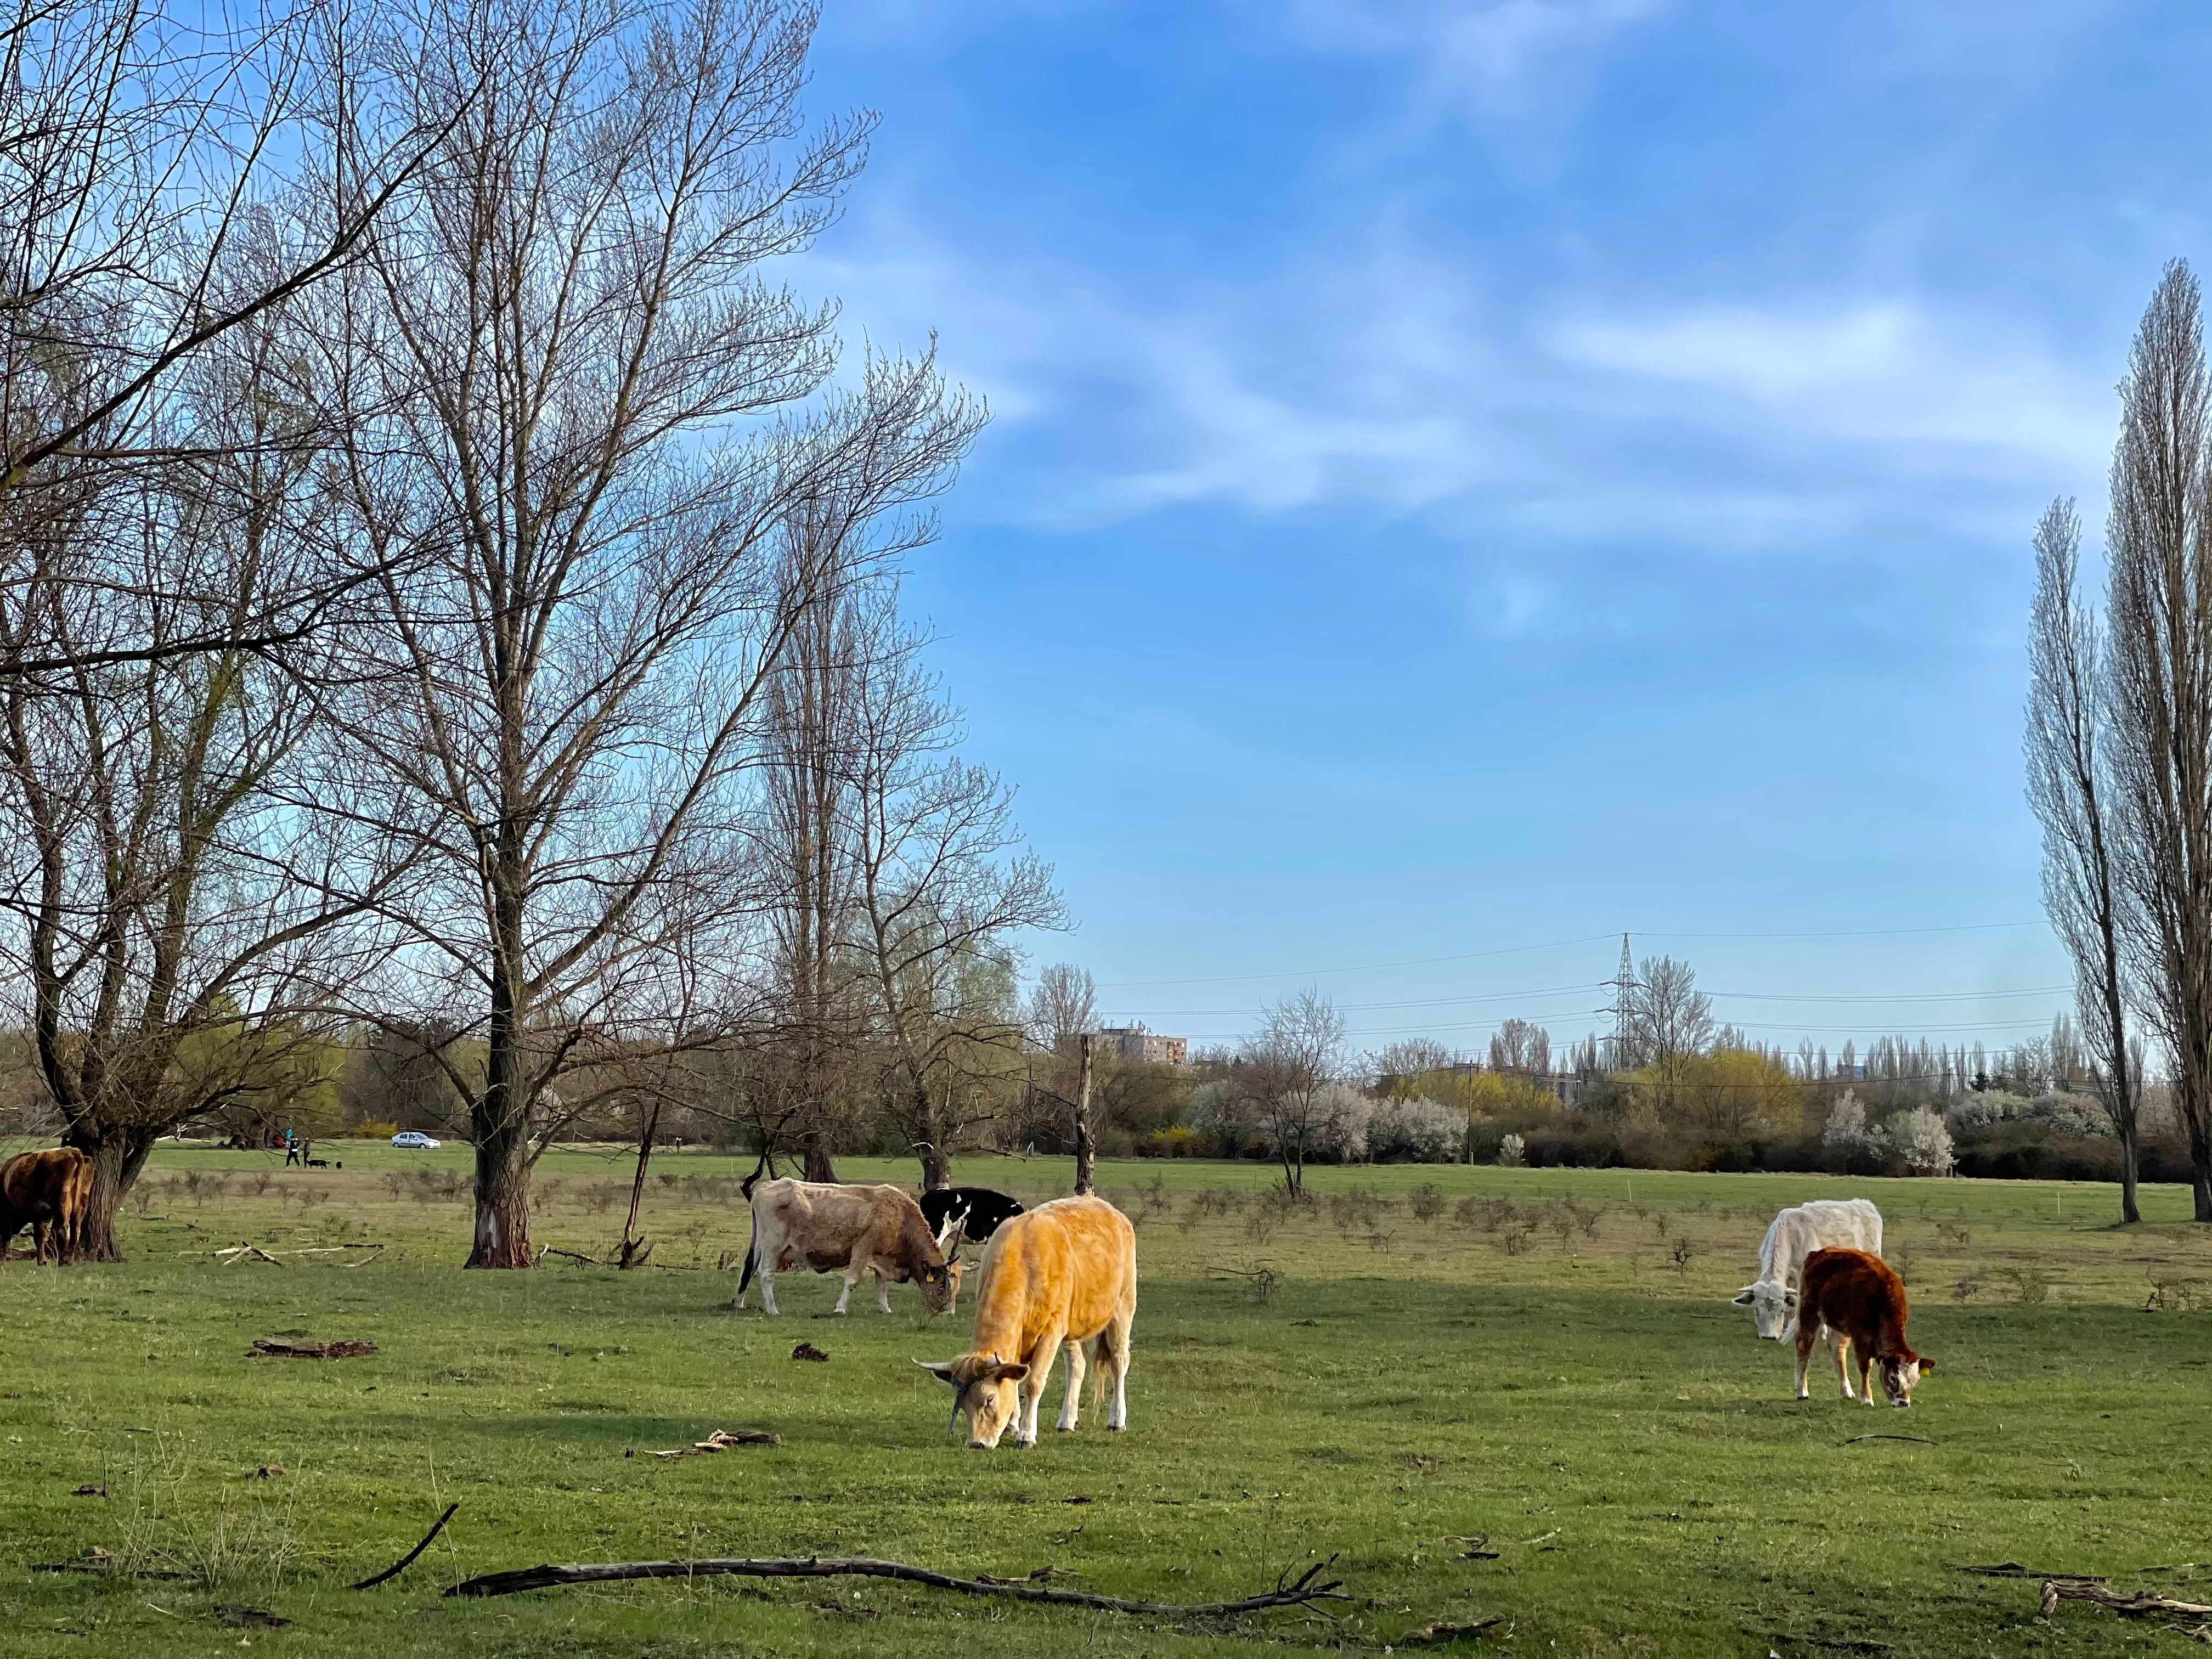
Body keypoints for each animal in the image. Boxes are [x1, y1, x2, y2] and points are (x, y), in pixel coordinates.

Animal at [0, 1147, 94, 1265]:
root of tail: (73, 1152)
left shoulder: (8, 1213)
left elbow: (7, 1236)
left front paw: (2, 1260)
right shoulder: (42, 1215)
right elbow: (40, 1237)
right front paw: (42, 1261)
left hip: (61, 1206)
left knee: (64, 1230)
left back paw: (62, 1261)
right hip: (80, 1207)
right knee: (75, 1231)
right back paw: (69, 1261)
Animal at [734, 1178, 964, 1316]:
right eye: (942, 1286)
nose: (948, 1312)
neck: (901, 1220)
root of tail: (765, 1187)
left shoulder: (881, 1256)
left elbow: (881, 1286)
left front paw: (886, 1309)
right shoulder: (863, 1250)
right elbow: (852, 1281)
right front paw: (840, 1309)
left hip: (760, 1246)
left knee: (749, 1269)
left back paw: (739, 1303)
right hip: (773, 1247)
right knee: (765, 1274)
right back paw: (772, 1309)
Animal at [917, 1193, 1137, 1450]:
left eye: (989, 1398)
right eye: (961, 1403)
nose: (976, 1443)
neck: (1024, 1261)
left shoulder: (1051, 1332)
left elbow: (1033, 1383)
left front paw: (1026, 1435)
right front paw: (1013, 1424)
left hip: (1123, 1309)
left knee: (1119, 1361)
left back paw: (1117, 1420)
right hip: (1072, 1326)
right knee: (1077, 1366)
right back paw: (1067, 1420)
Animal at [1793, 1247, 1932, 1407]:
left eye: (1915, 1381)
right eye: (1893, 1378)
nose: (1904, 1403)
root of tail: (1819, 1252)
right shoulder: (1860, 1335)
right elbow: (1865, 1366)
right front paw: (1867, 1398)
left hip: (1839, 1325)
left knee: (1838, 1350)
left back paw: (1847, 1391)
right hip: (1809, 1310)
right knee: (1804, 1345)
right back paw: (1802, 1391)